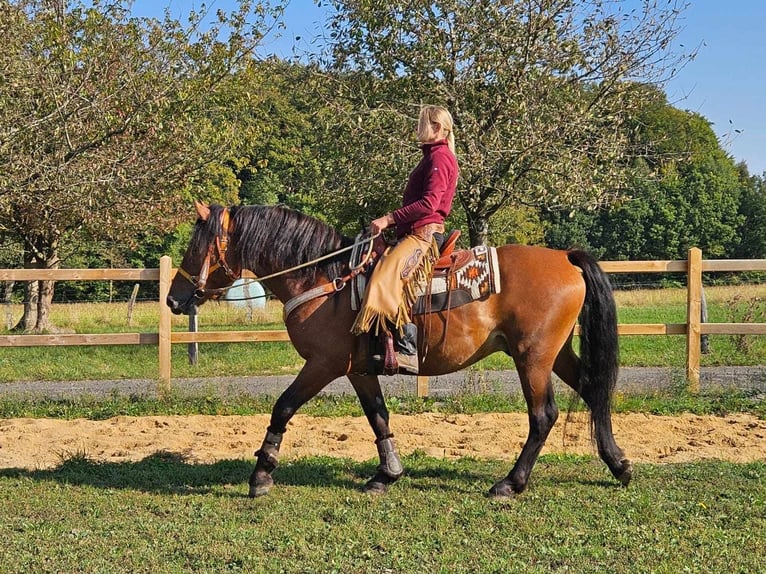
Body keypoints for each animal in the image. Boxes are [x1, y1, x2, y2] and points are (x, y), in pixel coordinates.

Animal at [165, 204, 632, 500]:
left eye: (196, 247)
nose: (173, 299)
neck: (324, 278)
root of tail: (565, 258)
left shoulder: (323, 364)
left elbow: (283, 407)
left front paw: (261, 475)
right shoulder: (357, 369)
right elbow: (378, 417)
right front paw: (387, 475)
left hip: (531, 357)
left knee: (543, 415)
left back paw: (510, 484)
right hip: (555, 353)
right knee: (593, 391)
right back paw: (619, 465)